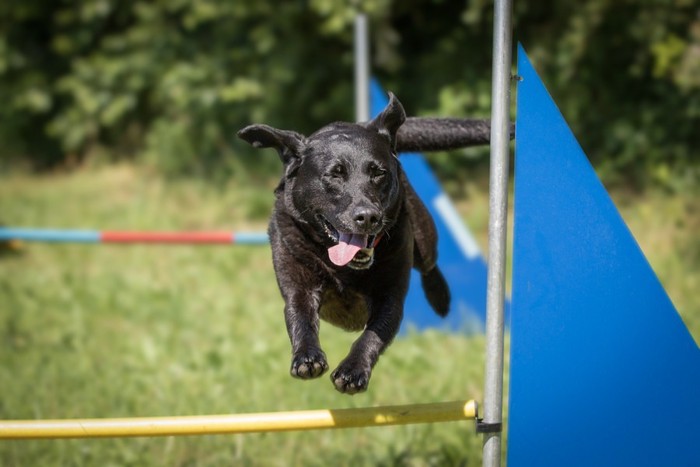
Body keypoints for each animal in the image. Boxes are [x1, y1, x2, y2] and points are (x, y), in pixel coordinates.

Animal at [239, 95, 492, 394]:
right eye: (335, 174)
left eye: (378, 173)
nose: (368, 216)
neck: (344, 269)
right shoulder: (298, 285)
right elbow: (300, 318)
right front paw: (307, 358)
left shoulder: (390, 297)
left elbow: (372, 335)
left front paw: (352, 371)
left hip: (423, 233)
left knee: (429, 264)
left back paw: (440, 297)